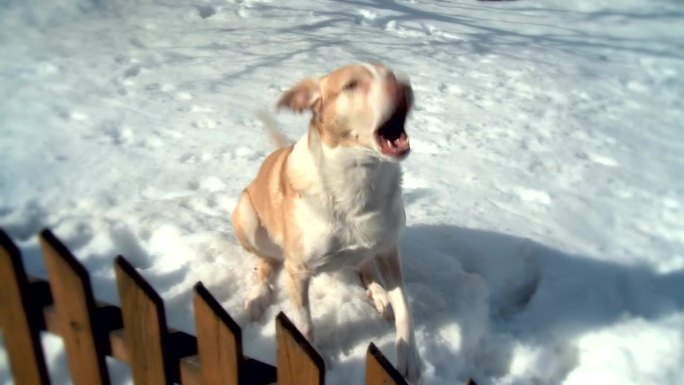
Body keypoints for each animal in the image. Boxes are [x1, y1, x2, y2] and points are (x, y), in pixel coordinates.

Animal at [232, 62, 420, 380]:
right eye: (351, 85)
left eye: (392, 74)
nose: (403, 86)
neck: (358, 178)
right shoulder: (298, 271)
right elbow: (304, 325)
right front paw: (315, 359)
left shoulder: (388, 248)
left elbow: (405, 305)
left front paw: (409, 356)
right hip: (247, 216)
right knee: (266, 263)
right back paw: (258, 295)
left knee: (364, 265)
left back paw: (378, 293)